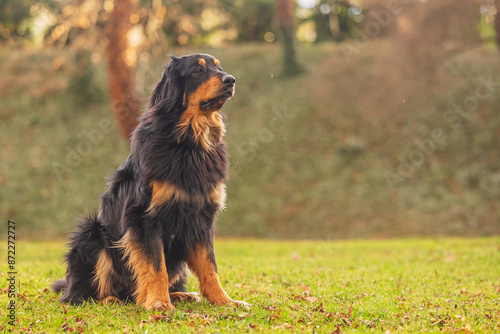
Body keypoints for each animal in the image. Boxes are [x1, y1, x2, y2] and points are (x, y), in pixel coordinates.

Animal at [52, 54, 248, 310]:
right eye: (197, 71)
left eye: (219, 67)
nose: (231, 80)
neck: (189, 143)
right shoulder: (144, 218)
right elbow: (156, 266)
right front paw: (158, 303)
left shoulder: (202, 218)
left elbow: (209, 267)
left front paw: (224, 301)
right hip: (90, 234)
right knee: (82, 294)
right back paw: (110, 300)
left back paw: (181, 294)